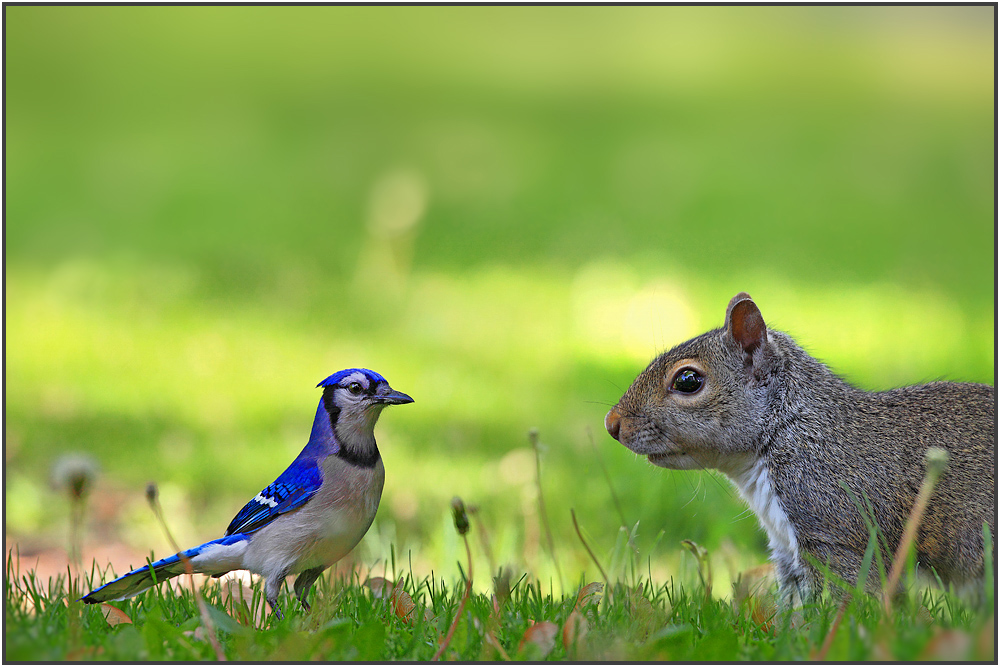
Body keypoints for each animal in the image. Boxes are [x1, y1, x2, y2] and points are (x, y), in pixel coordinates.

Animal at [604, 292, 996, 604]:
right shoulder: (785, 547)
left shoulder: (835, 534)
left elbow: (844, 600)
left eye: (688, 380)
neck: (789, 430)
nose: (612, 424)